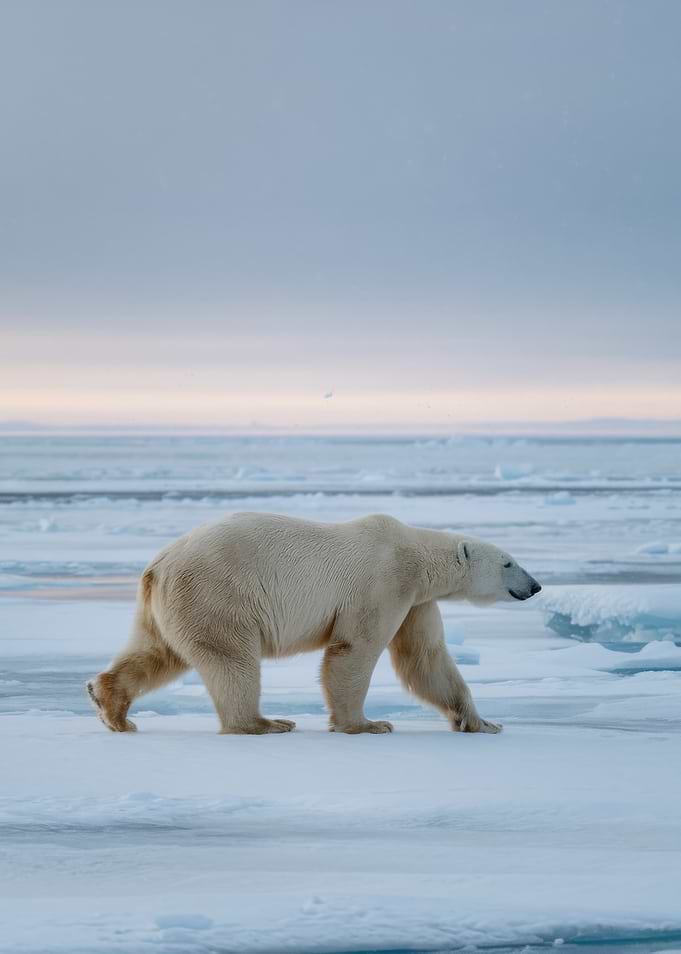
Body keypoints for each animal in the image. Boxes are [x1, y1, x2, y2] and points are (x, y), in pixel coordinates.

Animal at [87, 512, 541, 736]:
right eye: (509, 562)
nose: (536, 585)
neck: (413, 551)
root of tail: (158, 564)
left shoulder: (416, 601)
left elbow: (426, 658)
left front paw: (482, 722)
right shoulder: (384, 582)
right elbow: (354, 650)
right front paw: (367, 724)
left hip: (171, 603)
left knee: (156, 652)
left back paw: (112, 707)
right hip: (216, 593)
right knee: (232, 659)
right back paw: (265, 723)